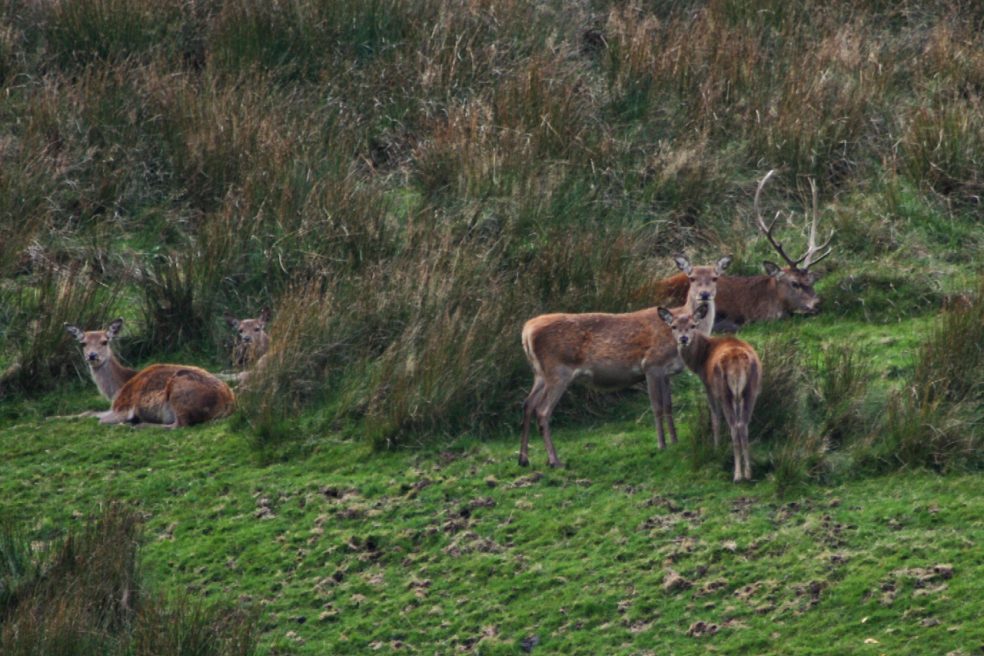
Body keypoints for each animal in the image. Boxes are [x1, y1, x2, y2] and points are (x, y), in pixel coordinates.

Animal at [64, 320, 236, 430]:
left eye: (105, 341)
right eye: (83, 343)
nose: (92, 356)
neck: (116, 390)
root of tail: (228, 401)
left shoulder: (123, 407)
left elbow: (100, 420)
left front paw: (130, 420)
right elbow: (88, 412)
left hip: (179, 392)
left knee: (179, 425)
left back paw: (137, 424)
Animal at [520, 255, 728, 466]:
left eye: (715, 277)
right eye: (691, 278)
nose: (704, 294)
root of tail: (527, 330)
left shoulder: (667, 373)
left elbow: (669, 406)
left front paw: (675, 440)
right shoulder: (652, 364)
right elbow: (657, 406)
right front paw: (662, 445)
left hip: (540, 373)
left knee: (528, 404)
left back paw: (524, 458)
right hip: (558, 371)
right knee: (542, 411)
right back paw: (555, 460)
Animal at [660, 304, 760, 482]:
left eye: (693, 325)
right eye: (674, 326)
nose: (684, 339)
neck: (700, 361)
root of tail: (738, 361)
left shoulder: (709, 386)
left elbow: (714, 418)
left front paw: (716, 447)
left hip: (724, 390)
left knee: (735, 425)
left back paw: (737, 474)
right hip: (751, 388)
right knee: (744, 424)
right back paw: (748, 473)